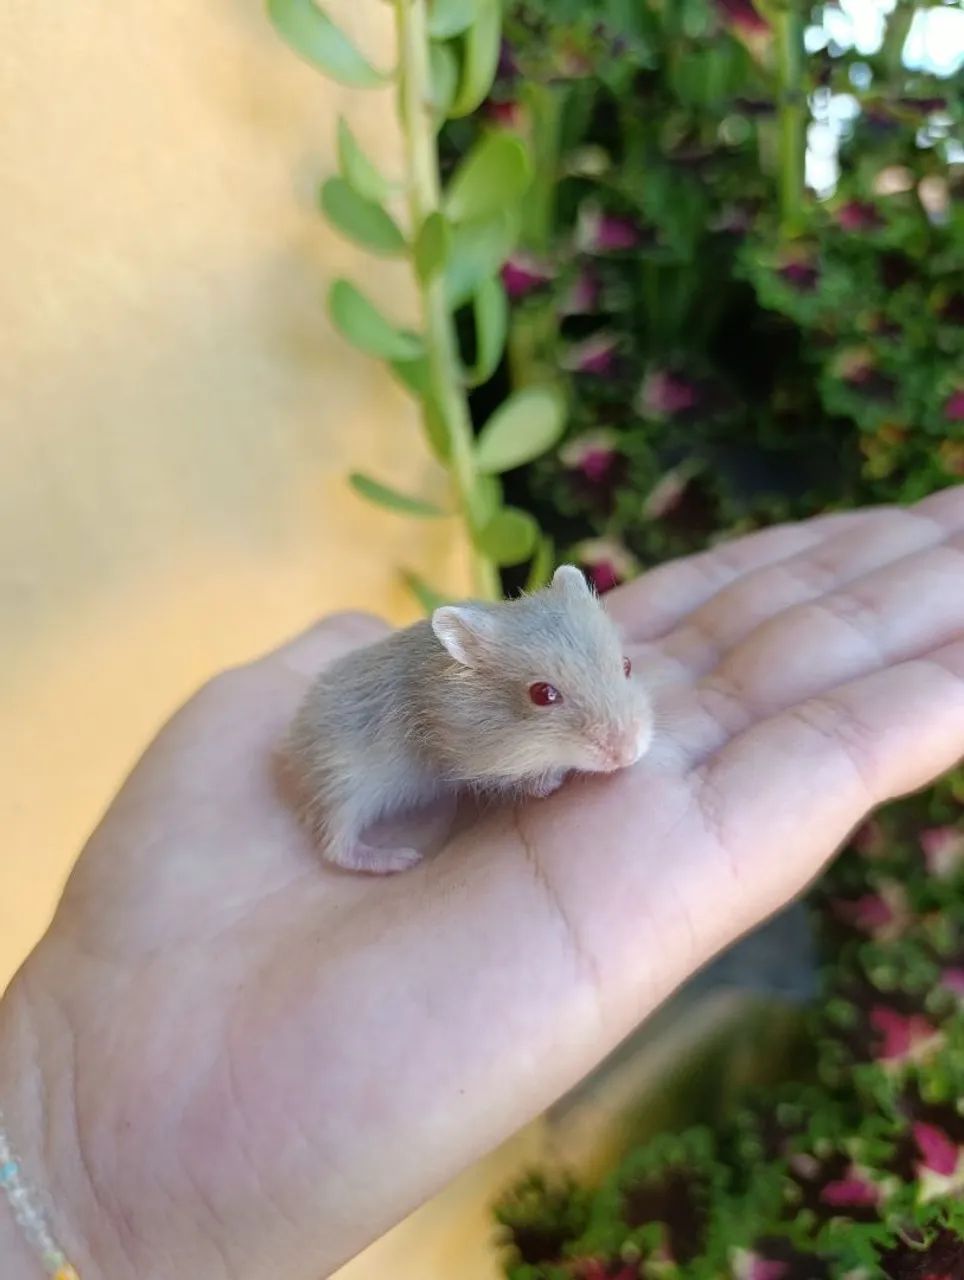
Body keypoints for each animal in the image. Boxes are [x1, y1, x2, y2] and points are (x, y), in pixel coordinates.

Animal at [285, 565, 653, 874]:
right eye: (543, 694)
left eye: (626, 665)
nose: (628, 754)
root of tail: (288, 753)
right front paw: (553, 778)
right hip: (343, 785)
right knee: (336, 845)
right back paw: (399, 859)